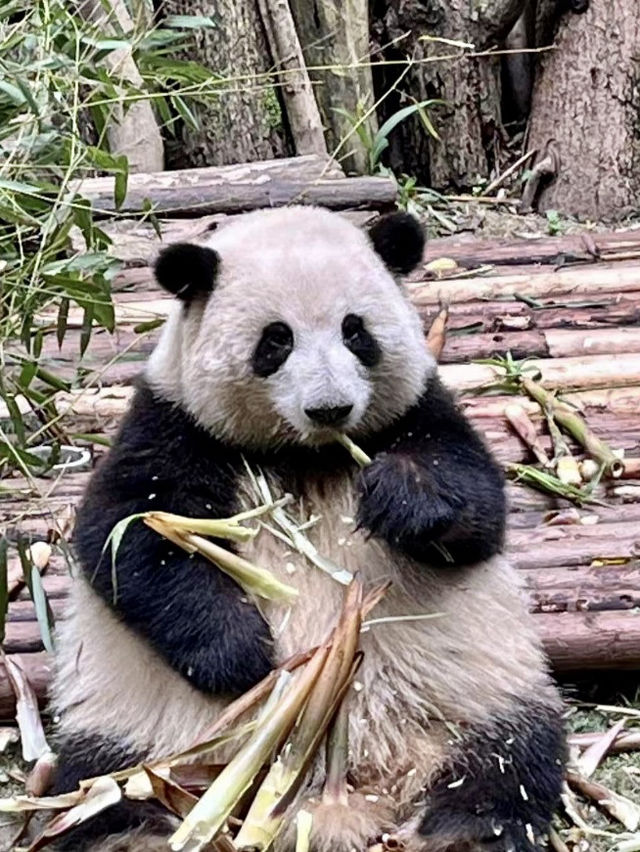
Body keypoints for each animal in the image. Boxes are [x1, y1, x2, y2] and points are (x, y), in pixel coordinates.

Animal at [47, 208, 564, 852]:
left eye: (355, 331)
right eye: (276, 340)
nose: (330, 409)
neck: (307, 454)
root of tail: (342, 794)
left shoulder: (421, 409)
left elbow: (477, 505)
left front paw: (404, 497)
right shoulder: (174, 424)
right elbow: (128, 538)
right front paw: (242, 653)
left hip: (476, 697)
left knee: (509, 761)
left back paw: (463, 828)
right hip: (135, 731)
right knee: (100, 791)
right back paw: (135, 832)